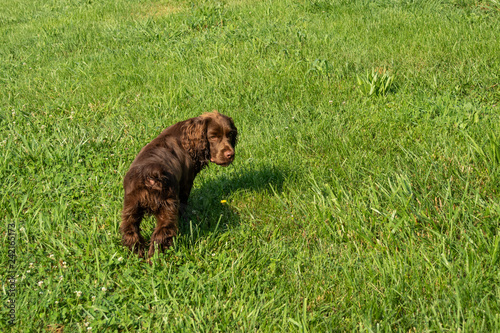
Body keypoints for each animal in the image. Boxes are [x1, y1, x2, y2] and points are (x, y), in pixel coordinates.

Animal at [121, 111, 238, 256]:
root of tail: (150, 175)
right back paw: (155, 257)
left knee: (130, 231)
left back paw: (137, 253)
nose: (230, 154)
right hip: (167, 207)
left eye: (230, 134)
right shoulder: (185, 184)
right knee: (161, 234)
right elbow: (184, 204)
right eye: (213, 137)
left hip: (131, 207)